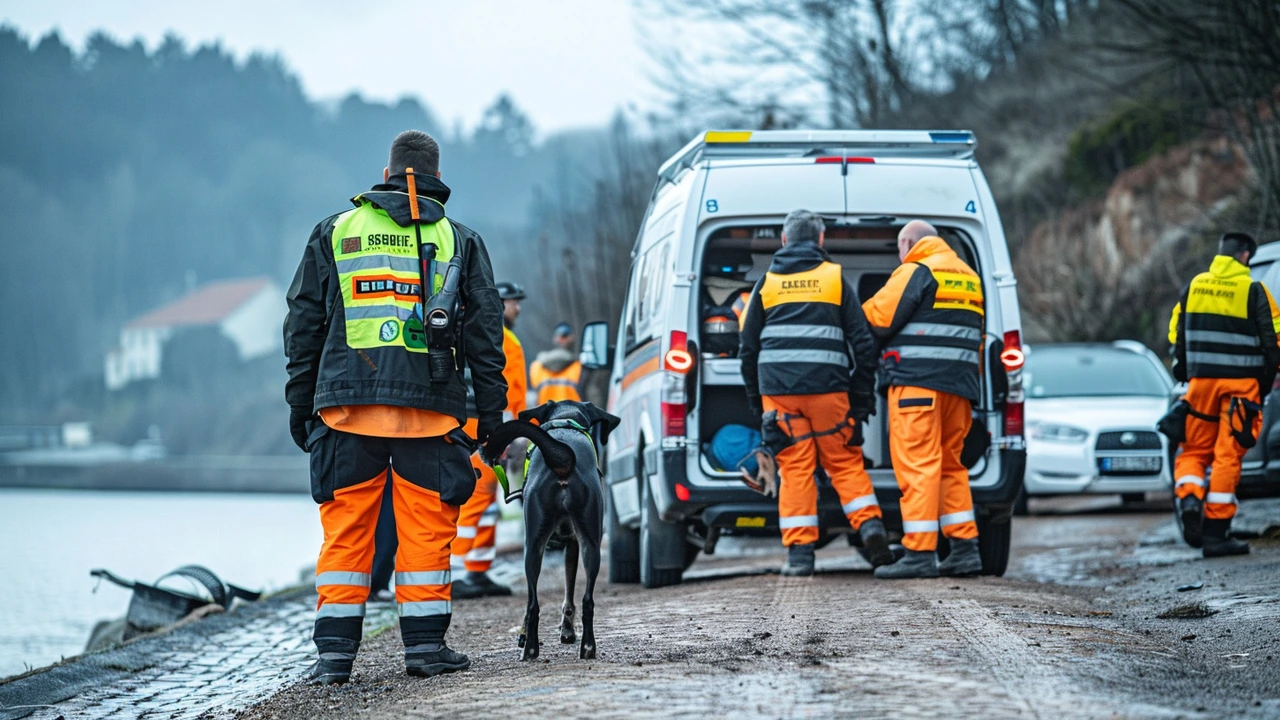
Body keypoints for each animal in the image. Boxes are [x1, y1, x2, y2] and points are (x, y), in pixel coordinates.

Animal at [481, 397, 619, 655]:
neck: (565, 421)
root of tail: (563, 460)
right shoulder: (573, 545)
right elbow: (569, 592)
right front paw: (567, 631)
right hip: (590, 545)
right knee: (587, 600)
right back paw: (587, 646)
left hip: (533, 548)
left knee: (532, 604)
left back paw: (529, 648)